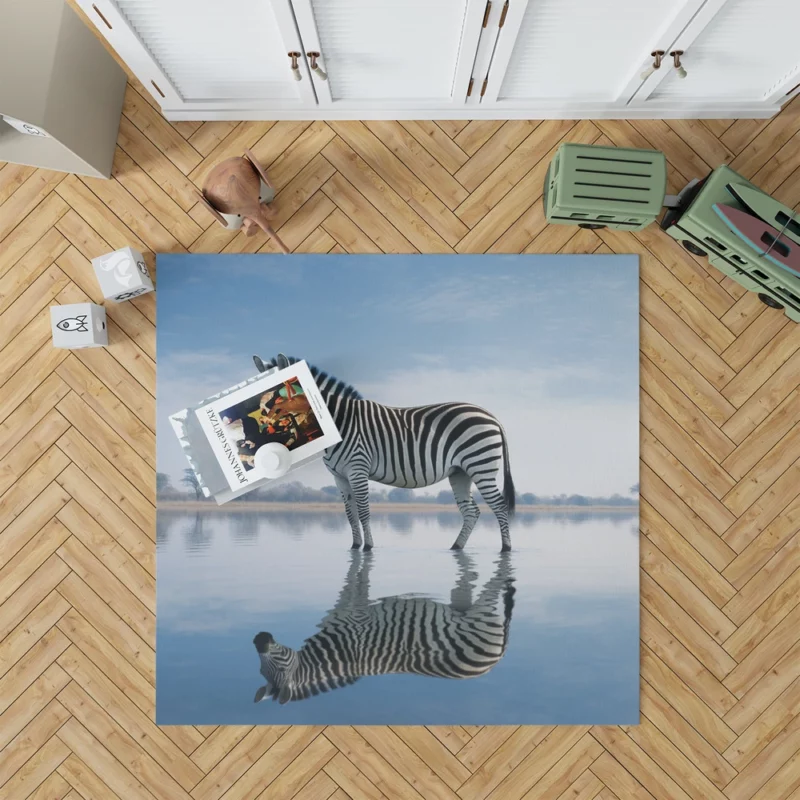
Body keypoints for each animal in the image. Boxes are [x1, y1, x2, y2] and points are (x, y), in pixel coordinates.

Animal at [253, 354, 516, 552]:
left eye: (276, 393)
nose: (262, 420)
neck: (339, 421)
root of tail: (491, 415)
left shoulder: (357, 469)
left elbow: (364, 511)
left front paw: (368, 548)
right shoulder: (339, 477)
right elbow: (350, 514)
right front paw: (354, 547)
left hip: (480, 465)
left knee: (499, 506)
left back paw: (505, 549)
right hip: (459, 472)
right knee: (471, 512)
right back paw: (456, 548)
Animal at [256, 552, 520, 704]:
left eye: (279, 664)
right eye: (260, 670)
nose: (258, 638)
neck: (339, 652)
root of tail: (497, 657)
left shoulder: (354, 618)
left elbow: (357, 588)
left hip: (480, 613)